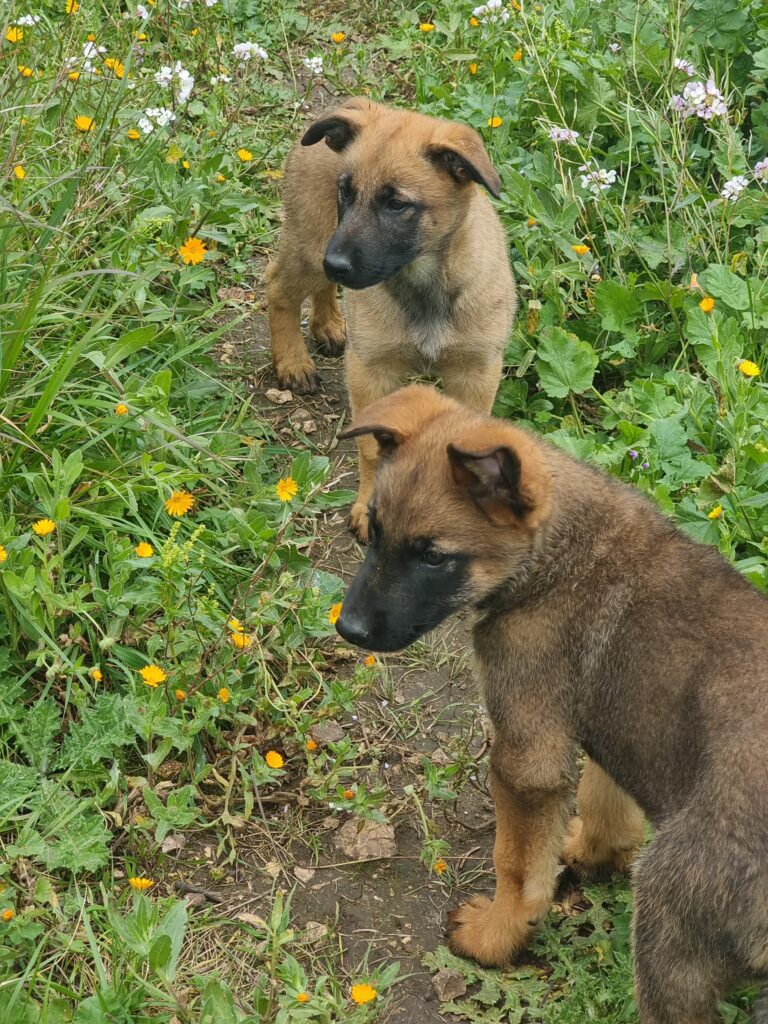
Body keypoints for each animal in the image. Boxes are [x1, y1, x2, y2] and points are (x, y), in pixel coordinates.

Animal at [266, 98, 518, 540]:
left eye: (396, 204)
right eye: (346, 191)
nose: (337, 264)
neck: (423, 284)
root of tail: (348, 103)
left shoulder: (475, 374)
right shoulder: (372, 373)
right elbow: (371, 451)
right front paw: (369, 508)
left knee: (316, 288)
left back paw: (329, 325)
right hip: (313, 244)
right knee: (278, 288)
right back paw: (294, 363)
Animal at [339, 385, 768, 1024]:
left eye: (434, 558)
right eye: (372, 529)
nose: (348, 629)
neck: (558, 554)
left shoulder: (527, 754)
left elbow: (517, 868)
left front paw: (495, 938)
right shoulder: (600, 719)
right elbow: (604, 795)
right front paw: (594, 852)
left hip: (669, 920)